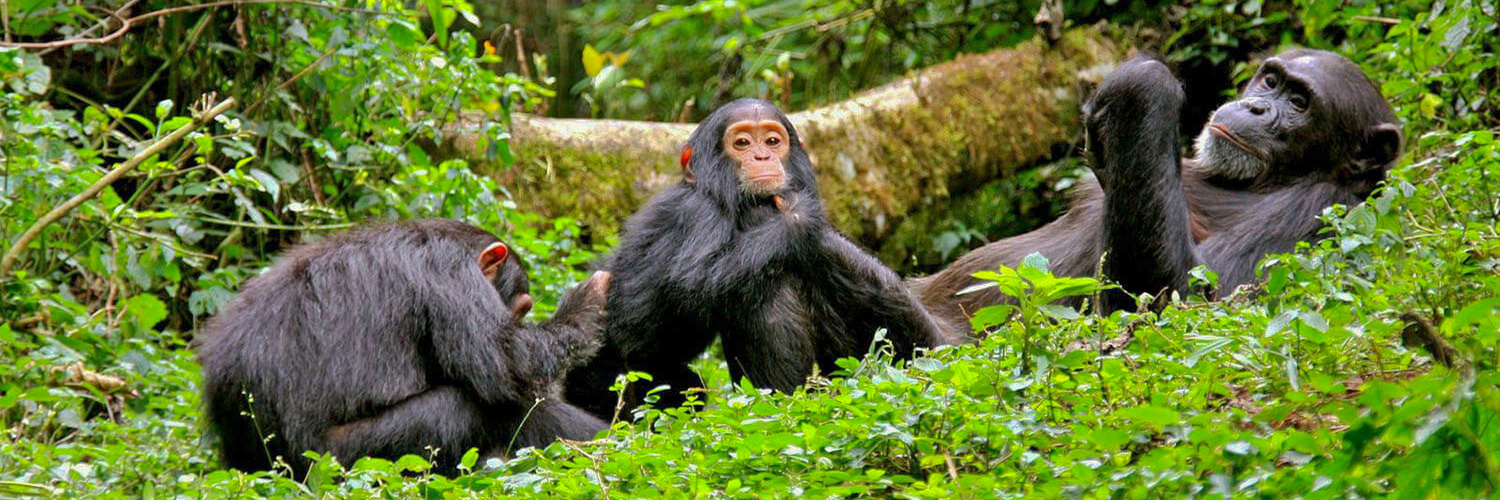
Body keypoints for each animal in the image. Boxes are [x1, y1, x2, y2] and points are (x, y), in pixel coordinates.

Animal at [198, 219, 609, 474]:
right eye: (523, 309)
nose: (522, 315)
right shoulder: (449, 272)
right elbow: (505, 361)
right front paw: (584, 303)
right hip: (346, 459)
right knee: (460, 408)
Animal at [564, 97, 948, 417]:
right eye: (742, 143)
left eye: (773, 142)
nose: (762, 157)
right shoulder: (701, 213)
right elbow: (696, 280)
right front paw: (797, 216)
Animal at [900, 49, 1404, 330]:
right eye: (1271, 80)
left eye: (1299, 102)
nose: (1256, 107)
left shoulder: (1320, 212)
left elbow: (1186, 298)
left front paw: (1143, 85)